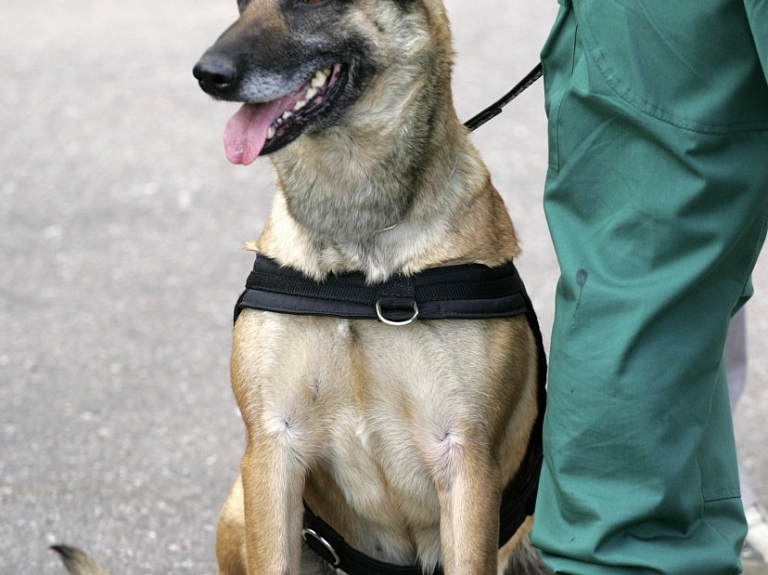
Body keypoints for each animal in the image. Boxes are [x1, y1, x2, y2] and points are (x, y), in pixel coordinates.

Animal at [194, 1, 552, 575]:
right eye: (240, 5)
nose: (207, 75)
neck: (359, 251)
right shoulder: (272, 450)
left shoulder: (465, 462)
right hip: (238, 507)